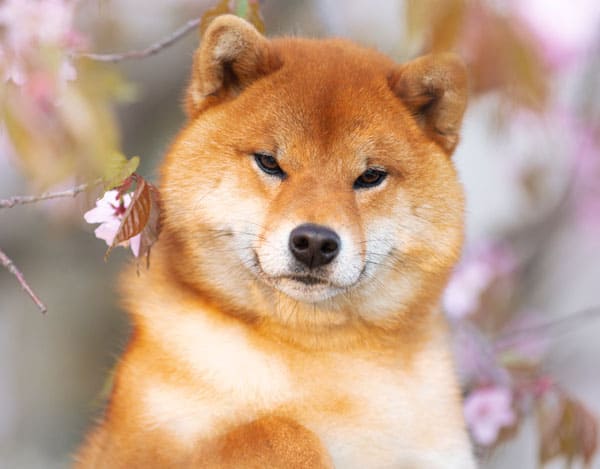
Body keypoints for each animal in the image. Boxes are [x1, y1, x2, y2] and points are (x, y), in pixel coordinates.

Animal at [77, 13, 476, 464]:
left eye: (371, 176)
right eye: (269, 162)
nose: (315, 242)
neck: (316, 349)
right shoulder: (134, 451)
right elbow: (279, 430)